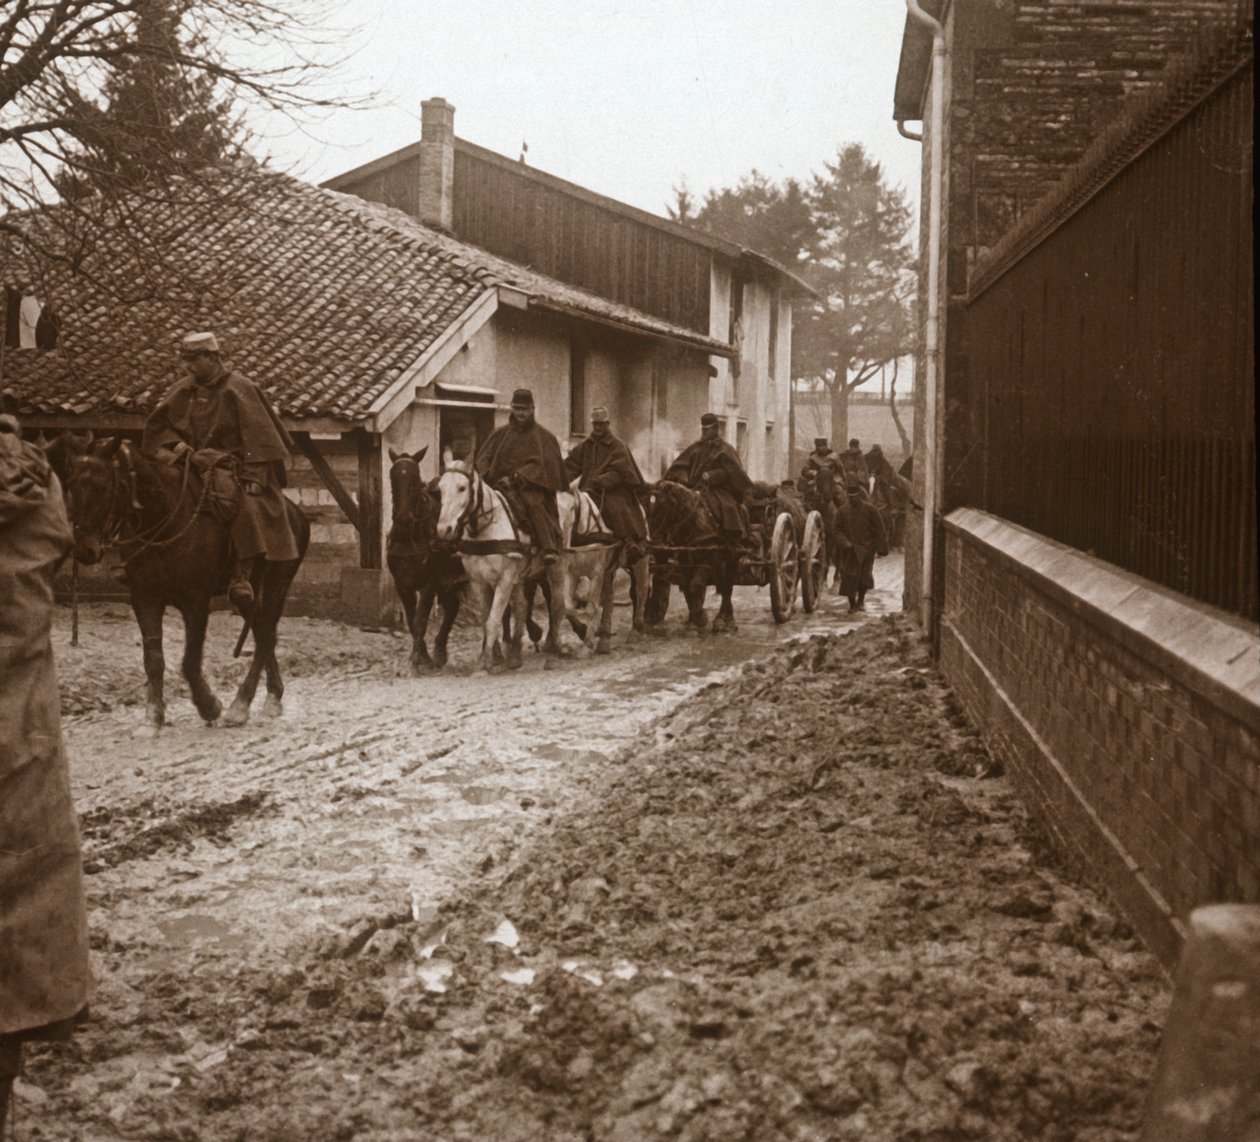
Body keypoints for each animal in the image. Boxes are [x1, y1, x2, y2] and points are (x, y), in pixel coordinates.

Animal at [62, 436, 308, 731]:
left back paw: (240, 705)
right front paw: (153, 715)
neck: (164, 518)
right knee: (262, 634)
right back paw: (272, 696)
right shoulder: (145, 596)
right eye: (71, 484)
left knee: (266, 637)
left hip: (274, 585)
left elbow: (190, 662)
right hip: (248, 598)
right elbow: (153, 659)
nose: (85, 550)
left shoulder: (196, 600)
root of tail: (296, 513)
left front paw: (209, 705)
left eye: (102, 485)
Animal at [385, 446, 466, 670]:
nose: (404, 519)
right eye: (393, 476)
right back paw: (439, 651)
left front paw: (417, 659)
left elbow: (420, 620)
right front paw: (423, 655)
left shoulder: (429, 583)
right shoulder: (403, 585)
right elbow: (412, 620)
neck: (410, 535)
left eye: (416, 478)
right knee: (452, 606)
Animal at [435, 451, 569, 665]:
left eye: (462, 488)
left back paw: (555, 644)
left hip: (557, 566)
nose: (443, 530)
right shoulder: (478, 581)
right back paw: (515, 654)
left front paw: (485, 661)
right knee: (522, 607)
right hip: (520, 576)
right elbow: (487, 619)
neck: (485, 528)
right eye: (440, 489)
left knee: (556, 604)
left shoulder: (504, 579)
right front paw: (496, 656)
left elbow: (493, 620)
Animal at [640, 478, 735, 632]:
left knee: (727, 586)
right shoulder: (686, 562)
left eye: (664, 505)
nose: (655, 544)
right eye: (646, 507)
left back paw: (725, 619)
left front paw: (701, 616)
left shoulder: (711, 559)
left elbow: (694, 585)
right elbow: (688, 589)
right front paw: (694, 618)